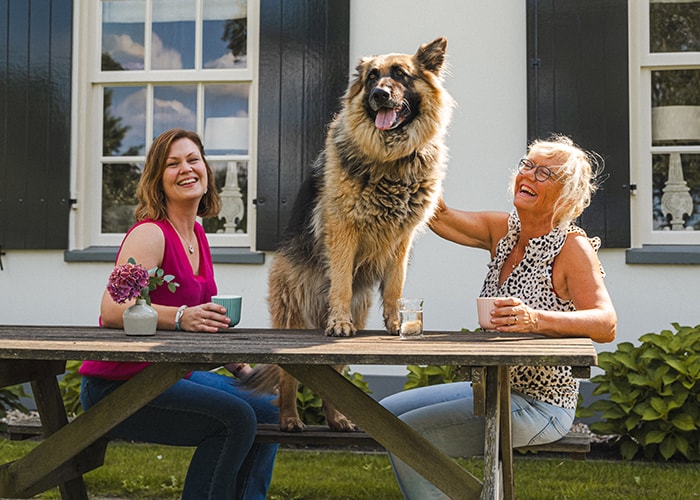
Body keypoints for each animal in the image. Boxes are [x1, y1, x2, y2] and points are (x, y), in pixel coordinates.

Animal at [246, 37, 454, 432]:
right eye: (372, 76)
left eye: (400, 75)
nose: (378, 94)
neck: (391, 159)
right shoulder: (344, 231)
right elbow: (341, 281)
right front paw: (338, 323)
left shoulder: (402, 238)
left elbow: (395, 286)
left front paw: (396, 322)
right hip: (292, 314)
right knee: (288, 379)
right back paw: (291, 418)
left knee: (336, 377)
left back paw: (338, 419)